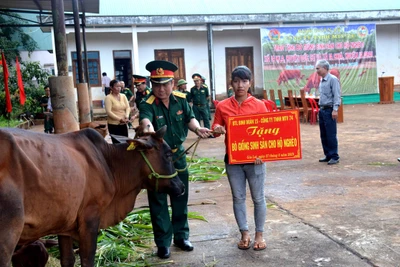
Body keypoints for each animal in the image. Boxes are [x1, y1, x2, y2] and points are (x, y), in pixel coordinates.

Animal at [0, 127, 184, 267]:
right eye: (168, 155)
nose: (181, 186)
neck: (109, 162)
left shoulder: (64, 223)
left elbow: (68, 260)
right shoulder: (90, 218)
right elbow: (87, 260)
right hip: (8, 233)